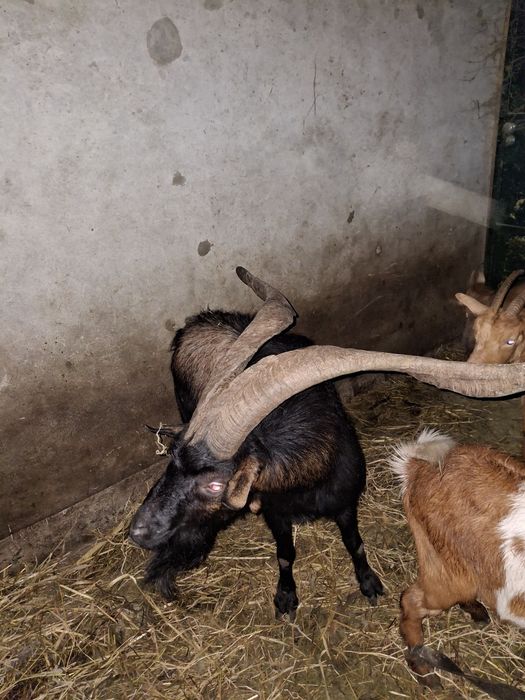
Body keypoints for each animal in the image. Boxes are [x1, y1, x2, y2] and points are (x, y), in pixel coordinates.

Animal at [129, 267, 524, 616]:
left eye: (214, 484)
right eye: (171, 458)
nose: (138, 531)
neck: (307, 486)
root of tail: (196, 321)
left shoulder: (346, 502)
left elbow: (355, 544)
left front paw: (370, 584)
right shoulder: (275, 512)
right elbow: (285, 554)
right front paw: (286, 598)